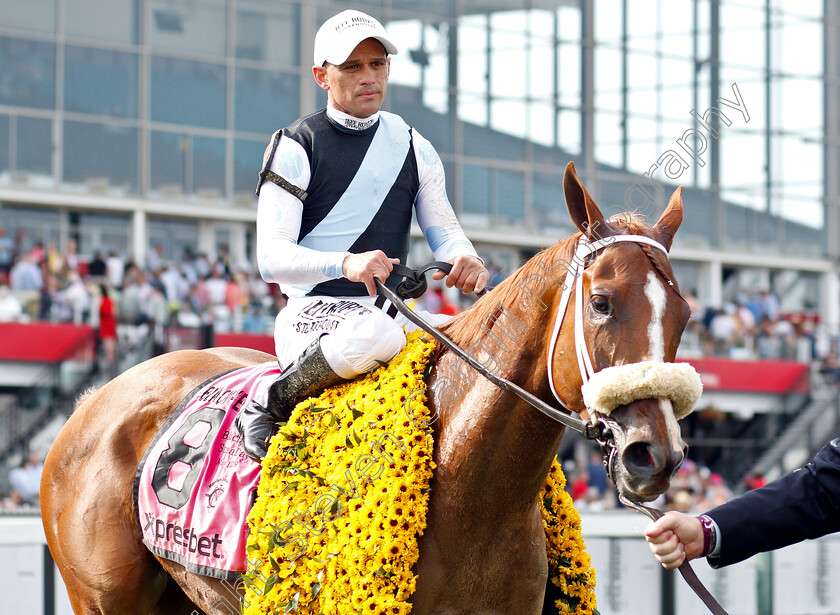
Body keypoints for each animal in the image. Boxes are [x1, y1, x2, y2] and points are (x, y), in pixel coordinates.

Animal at [41, 164, 688, 615]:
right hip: (103, 598)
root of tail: (91, 401)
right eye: (601, 302)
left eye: (683, 315)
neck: (474, 491)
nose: (653, 453)